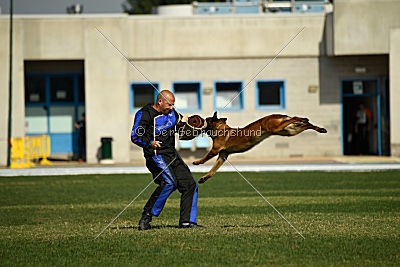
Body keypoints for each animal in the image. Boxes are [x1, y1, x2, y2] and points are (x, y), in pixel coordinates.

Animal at [194, 112, 328, 184]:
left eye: (206, 120)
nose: (201, 121)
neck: (220, 129)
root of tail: (278, 115)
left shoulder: (215, 151)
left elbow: (205, 158)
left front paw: (196, 162)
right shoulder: (222, 156)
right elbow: (212, 170)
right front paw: (204, 178)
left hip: (276, 127)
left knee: (295, 118)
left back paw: (303, 118)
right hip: (289, 131)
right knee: (305, 125)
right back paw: (319, 128)